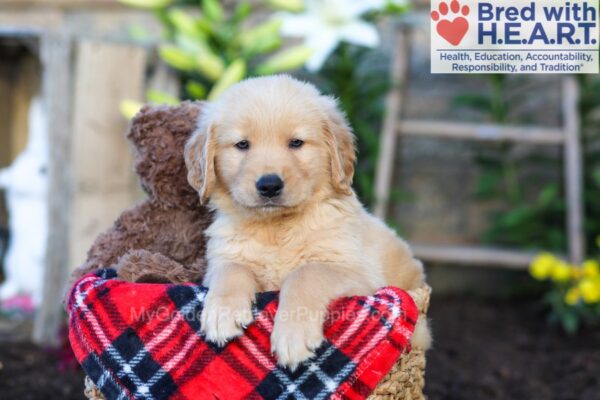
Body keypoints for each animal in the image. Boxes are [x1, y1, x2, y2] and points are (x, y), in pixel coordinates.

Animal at [185, 74, 428, 368]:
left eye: (296, 143)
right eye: (242, 145)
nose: (269, 185)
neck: (276, 227)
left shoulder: (358, 272)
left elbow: (305, 274)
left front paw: (293, 336)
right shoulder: (222, 258)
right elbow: (231, 269)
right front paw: (221, 313)